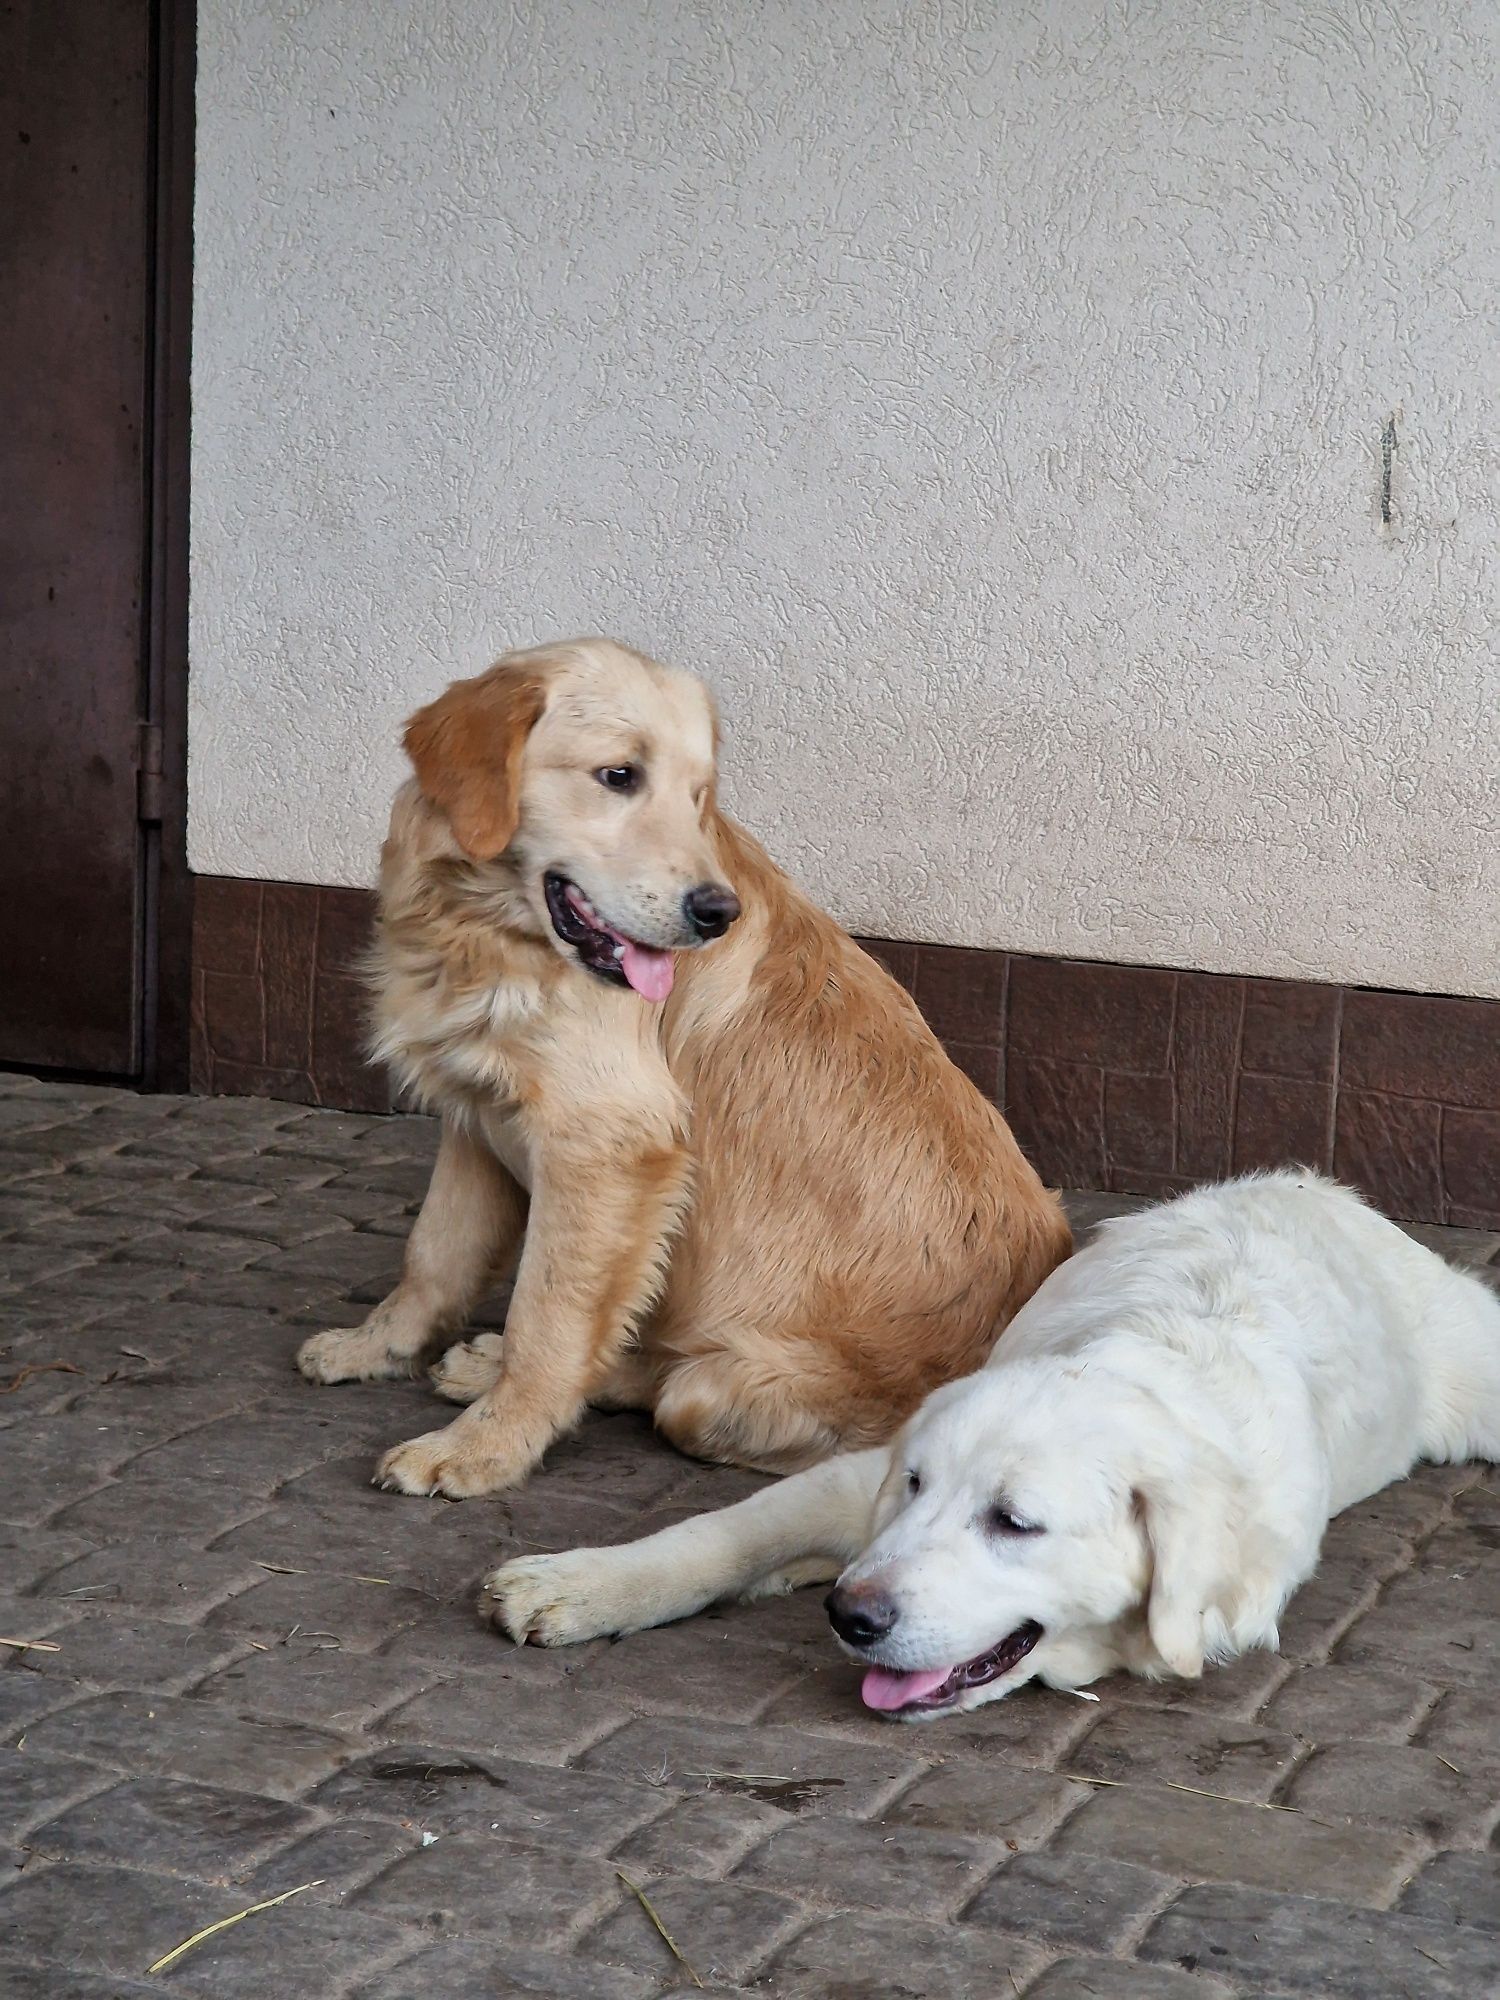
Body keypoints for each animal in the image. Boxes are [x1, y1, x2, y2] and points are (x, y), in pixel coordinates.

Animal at [484, 1168, 1500, 1720]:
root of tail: (1320, 1189)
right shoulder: (858, 1481)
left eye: (1014, 1523)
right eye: (916, 1487)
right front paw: (580, 1584)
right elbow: (720, 1535)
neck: (1138, 1364)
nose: (851, 1616)